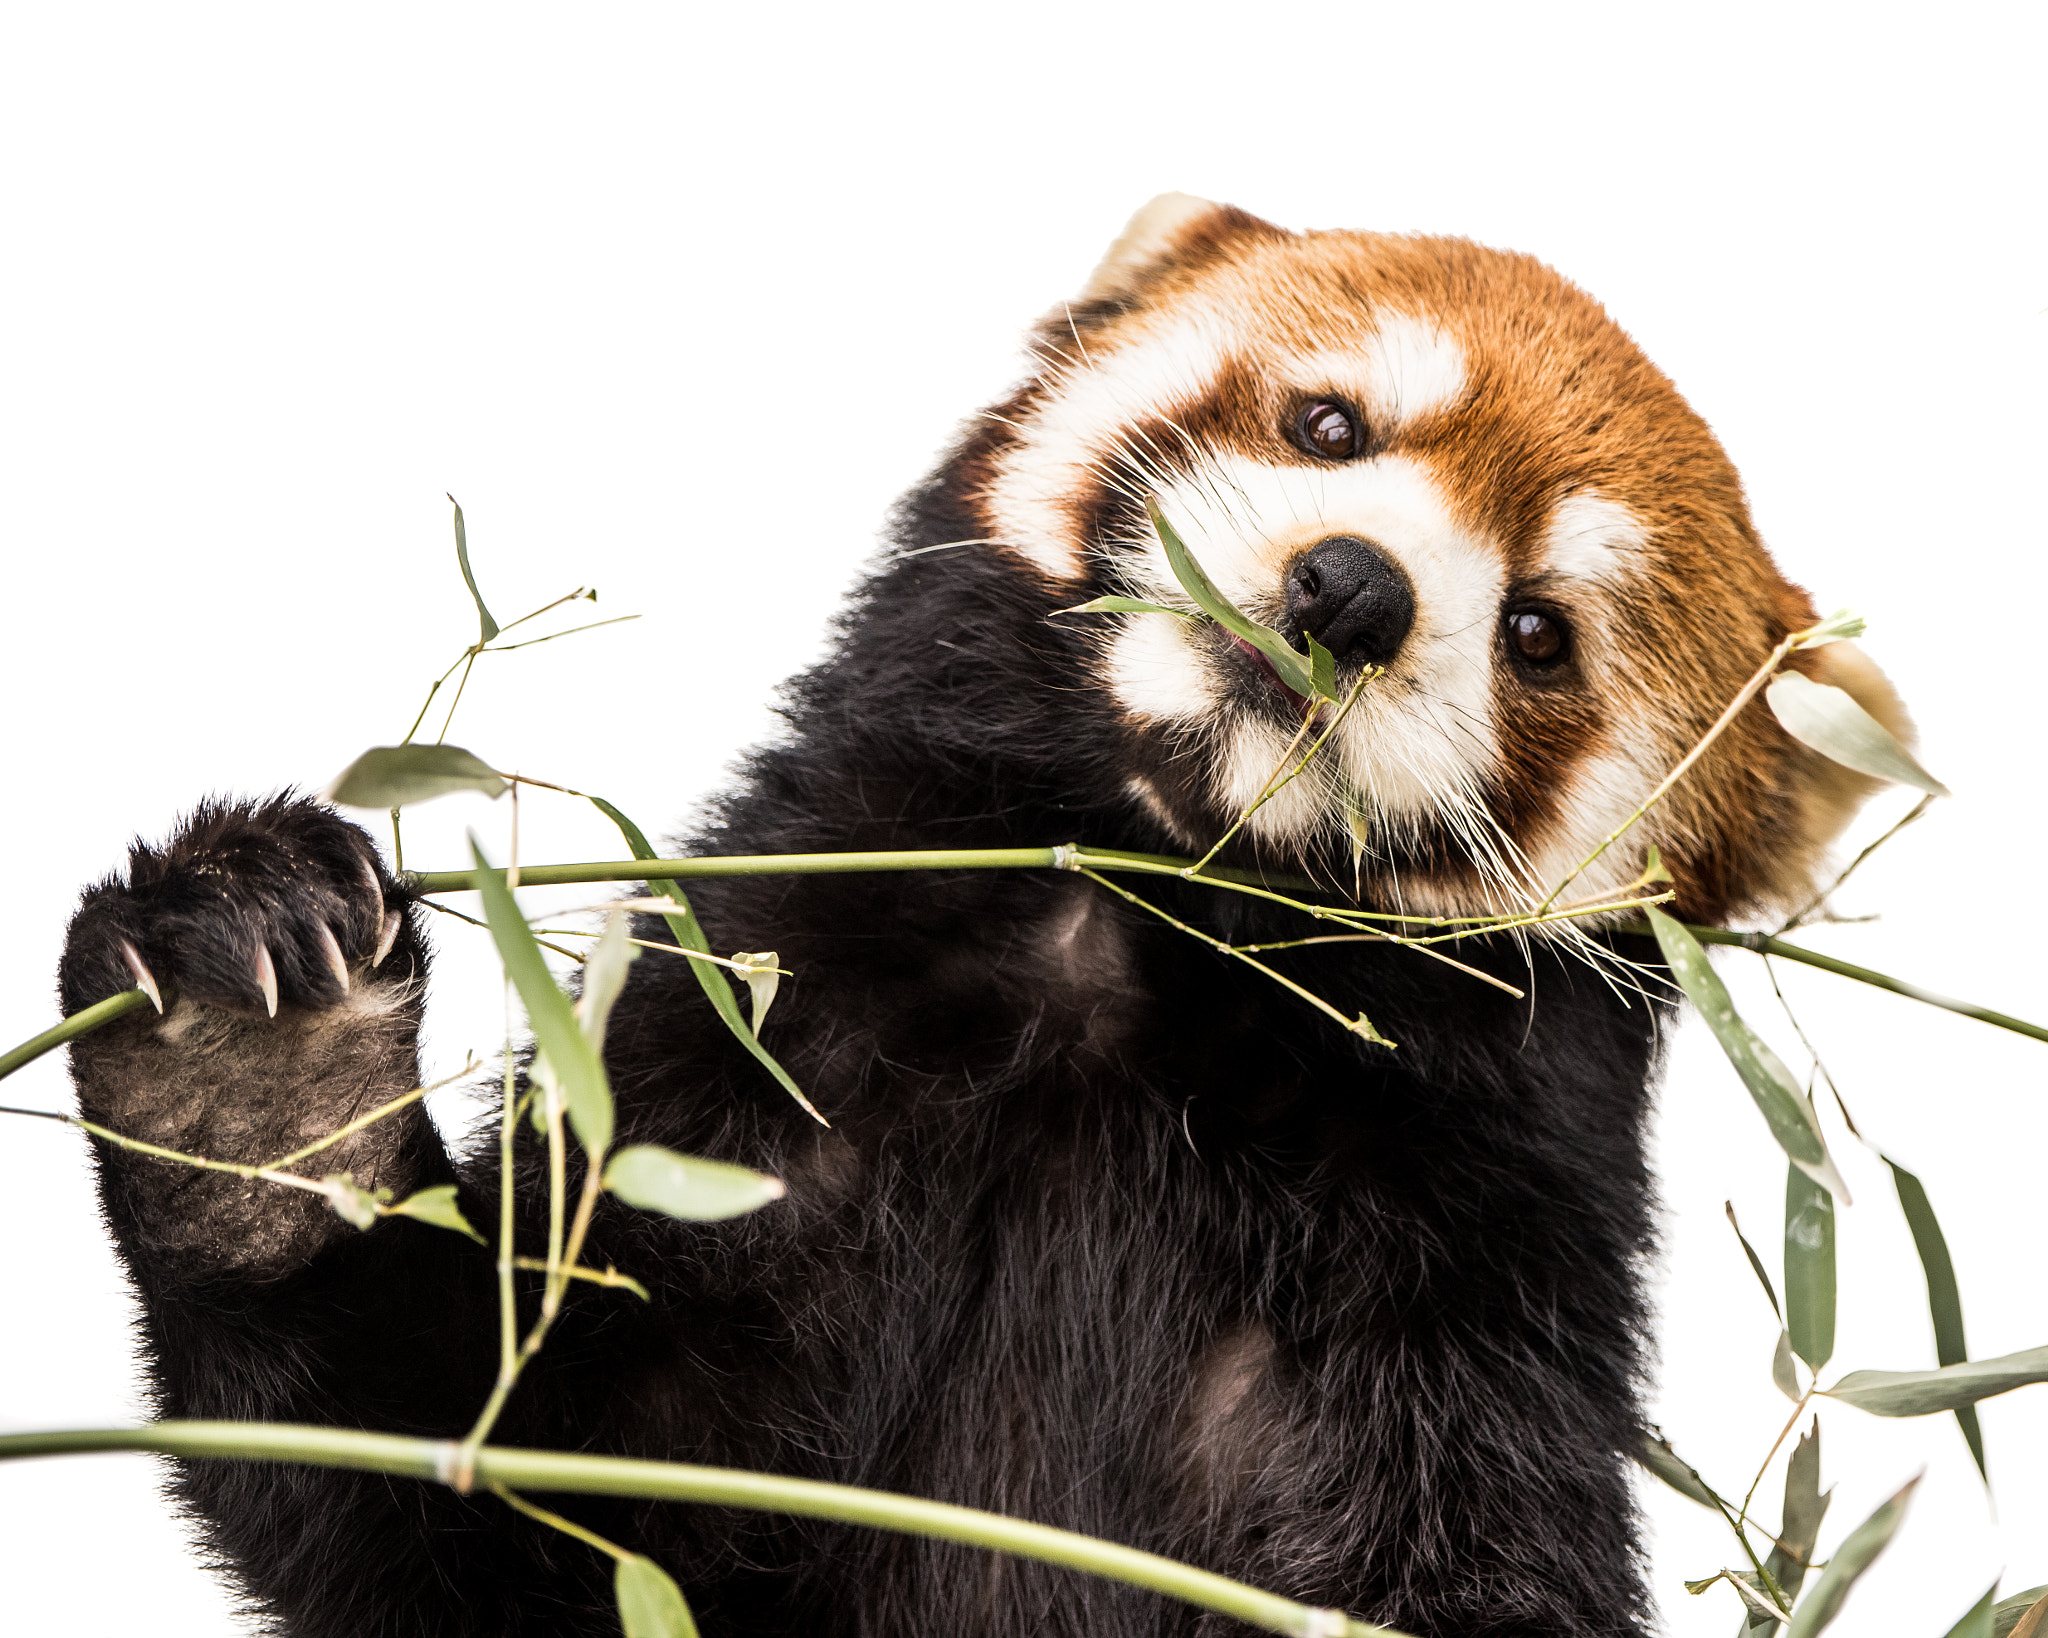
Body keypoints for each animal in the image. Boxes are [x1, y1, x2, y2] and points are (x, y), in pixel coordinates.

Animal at [56, 195, 1906, 1637]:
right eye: (1328, 425)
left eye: (1539, 634)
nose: (1351, 590)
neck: (1136, 931)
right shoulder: (769, 1053)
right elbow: (464, 1485)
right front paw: (258, 1072)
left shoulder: (1460, 1293)